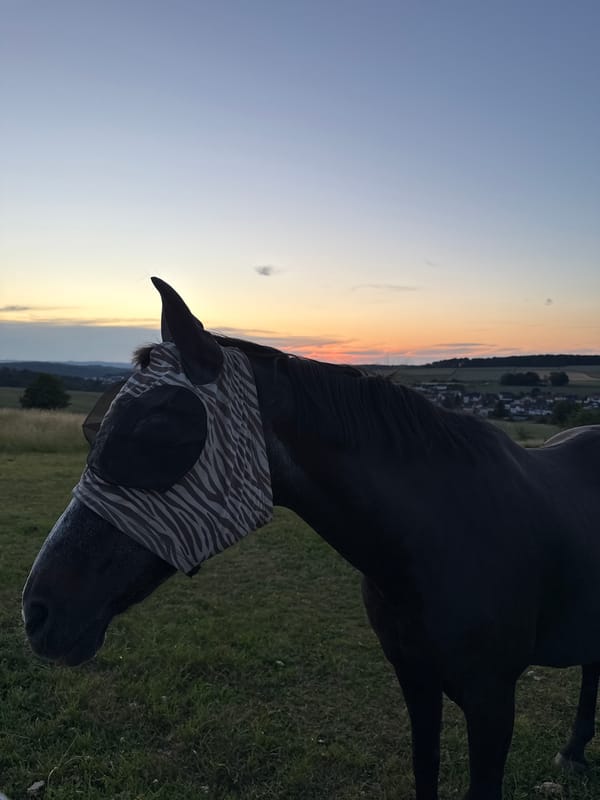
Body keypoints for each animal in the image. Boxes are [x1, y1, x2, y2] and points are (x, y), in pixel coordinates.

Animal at [22, 277, 600, 800]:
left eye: (155, 431)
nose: (36, 612)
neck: (437, 540)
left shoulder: (492, 702)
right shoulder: (416, 681)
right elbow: (425, 769)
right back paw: (574, 753)